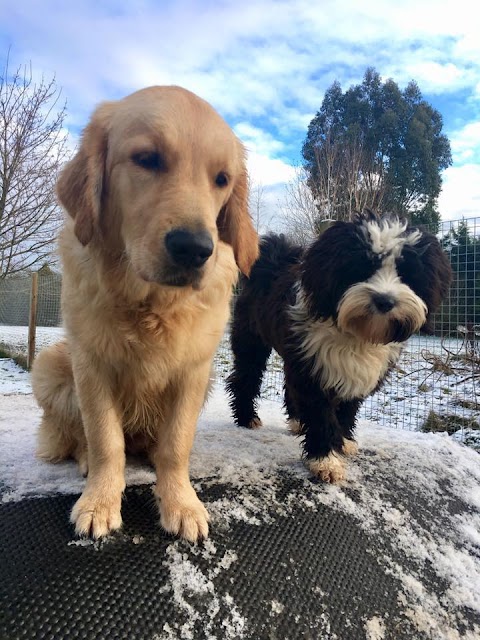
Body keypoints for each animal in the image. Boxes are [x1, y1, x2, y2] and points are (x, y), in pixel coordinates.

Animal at [227, 212, 452, 482]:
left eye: (406, 272)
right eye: (362, 266)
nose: (385, 301)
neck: (357, 334)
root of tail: (273, 260)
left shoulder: (350, 373)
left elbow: (346, 409)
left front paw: (342, 442)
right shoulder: (312, 368)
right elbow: (321, 414)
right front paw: (326, 460)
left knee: (288, 387)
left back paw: (297, 421)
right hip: (252, 342)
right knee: (245, 377)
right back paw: (247, 418)